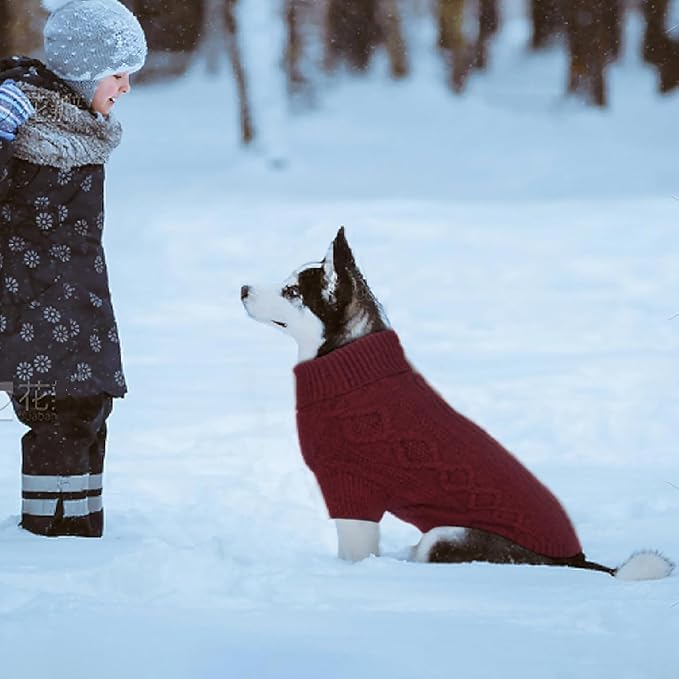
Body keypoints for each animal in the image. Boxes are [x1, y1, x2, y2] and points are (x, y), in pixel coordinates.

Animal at [243, 228, 676, 580]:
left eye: (292, 292)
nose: (243, 289)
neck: (346, 358)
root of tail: (576, 561)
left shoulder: (350, 490)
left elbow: (354, 553)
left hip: (444, 536)